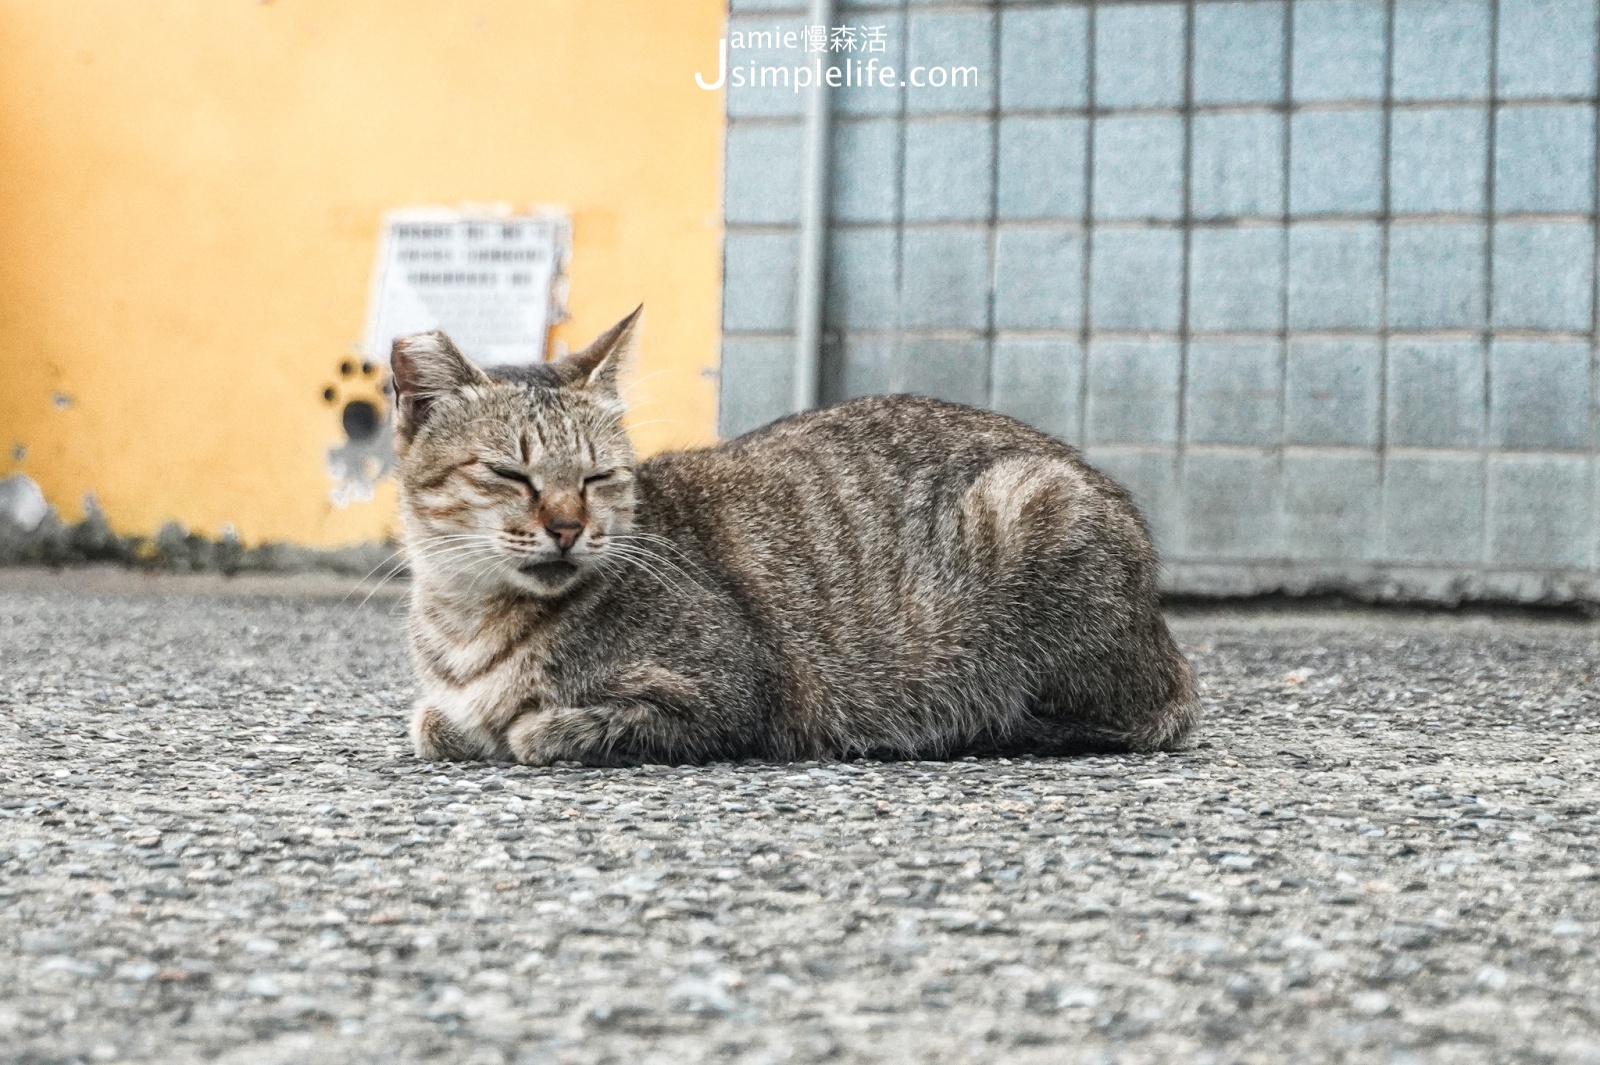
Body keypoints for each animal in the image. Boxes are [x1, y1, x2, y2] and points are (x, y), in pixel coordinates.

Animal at [387, 307, 1196, 764]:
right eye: (510, 474)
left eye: (598, 478)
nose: (567, 526)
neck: (467, 623)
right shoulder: (440, 705)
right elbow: (432, 722)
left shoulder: (730, 696)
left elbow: (536, 730)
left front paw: (525, 726)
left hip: (1032, 508)